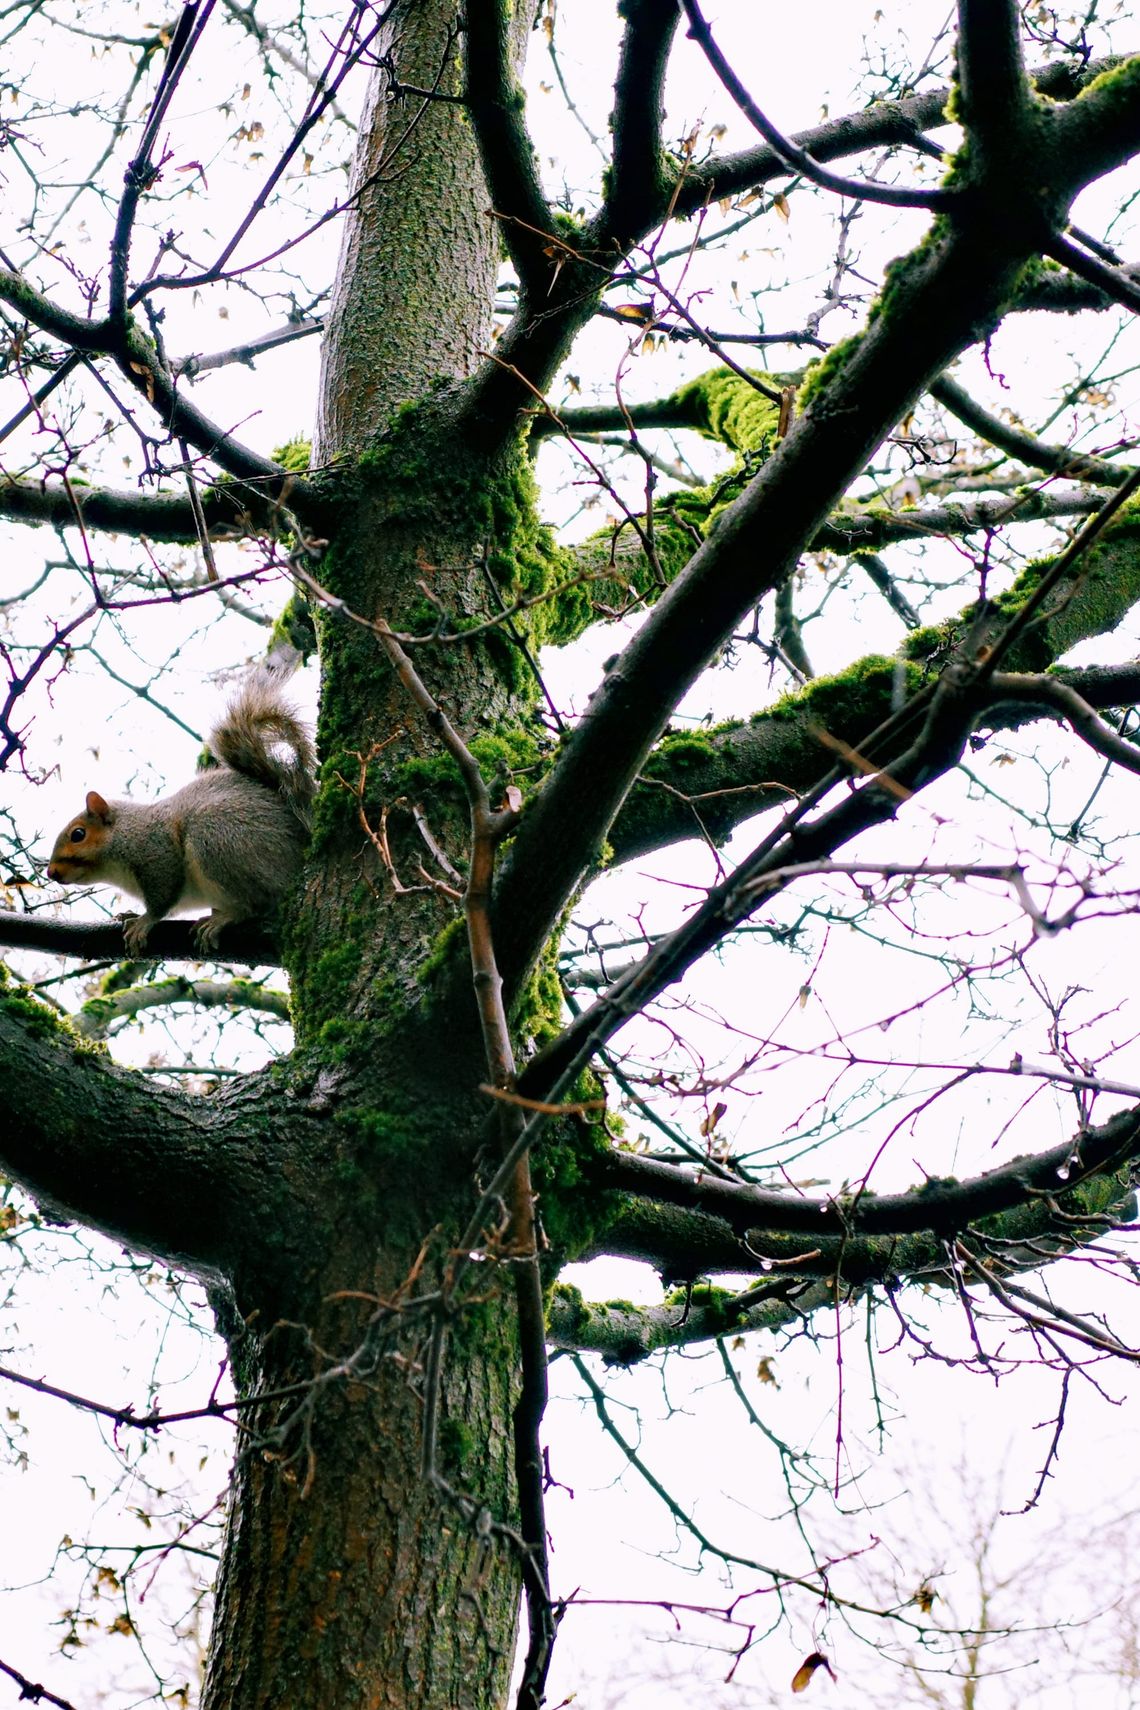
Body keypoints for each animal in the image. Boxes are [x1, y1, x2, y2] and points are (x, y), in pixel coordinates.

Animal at [47, 666, 316, 954]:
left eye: (78, 834)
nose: (51, 872)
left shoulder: (158, 855)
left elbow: (163, 901)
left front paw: (143, 921)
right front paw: (130, 914)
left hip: (217, 838)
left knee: (261, 902)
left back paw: (224, 918)